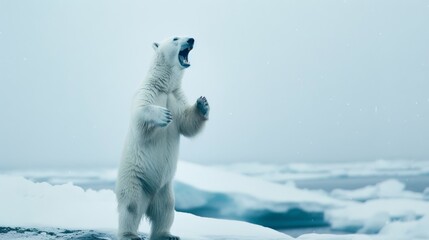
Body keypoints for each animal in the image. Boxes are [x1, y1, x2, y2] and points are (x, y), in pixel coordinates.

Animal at [113, 36, 207, 240]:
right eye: (175, 38)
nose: (191, 39)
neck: (164, 86)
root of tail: (149, 200)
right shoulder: (148, 91)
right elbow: (140, 116)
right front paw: (163, 115)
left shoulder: (176, 97)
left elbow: (188, 122)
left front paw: (202, 104)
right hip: (134, 179)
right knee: (130, 206)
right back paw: (129, 234)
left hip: (165, 189)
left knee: (166, 209)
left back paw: (166, 234)